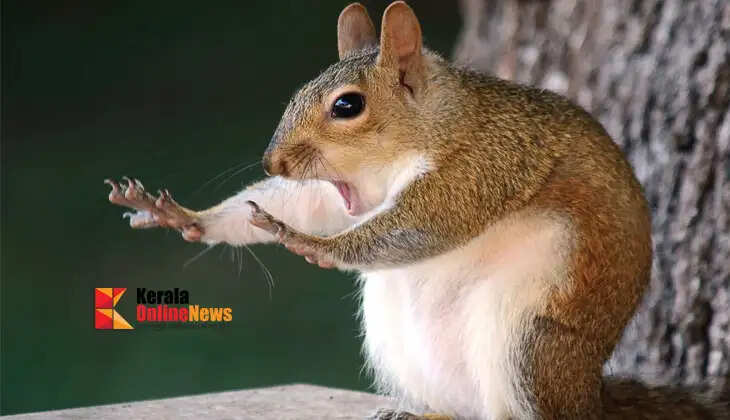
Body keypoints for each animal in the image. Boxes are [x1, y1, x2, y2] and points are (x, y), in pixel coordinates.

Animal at [105, 2, 728, 419]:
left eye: (347, 106)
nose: (272, 159)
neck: (433, 125)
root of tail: (589, 395)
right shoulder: (339, 191)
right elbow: (305, 202)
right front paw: (186, 217)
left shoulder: (485, 163)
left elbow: (425, 223)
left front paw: (314, 245)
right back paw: (420, 411)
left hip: (529, 343)